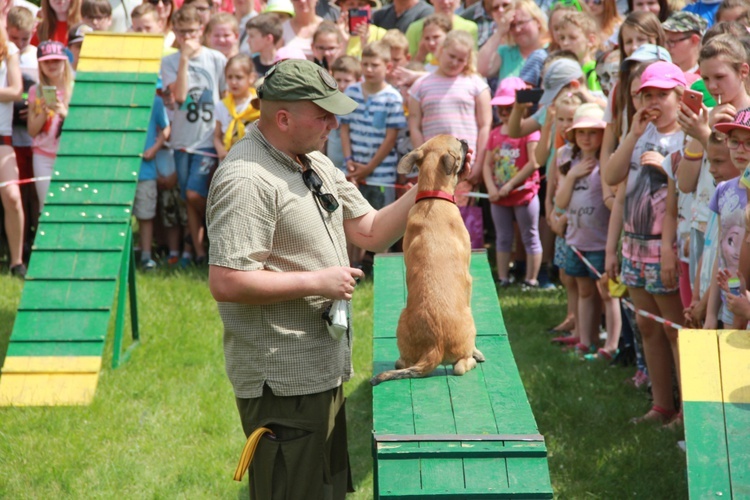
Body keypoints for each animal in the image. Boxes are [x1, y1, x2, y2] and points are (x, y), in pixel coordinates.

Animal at [372, 135, 488, 384]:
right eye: (458, 143)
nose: (465, 139)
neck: (433, 197)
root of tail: (434, 346)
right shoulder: (469, 279)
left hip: (403, 325)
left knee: (402, 363)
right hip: (468, 323)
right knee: (460, 366)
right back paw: (474, 357)